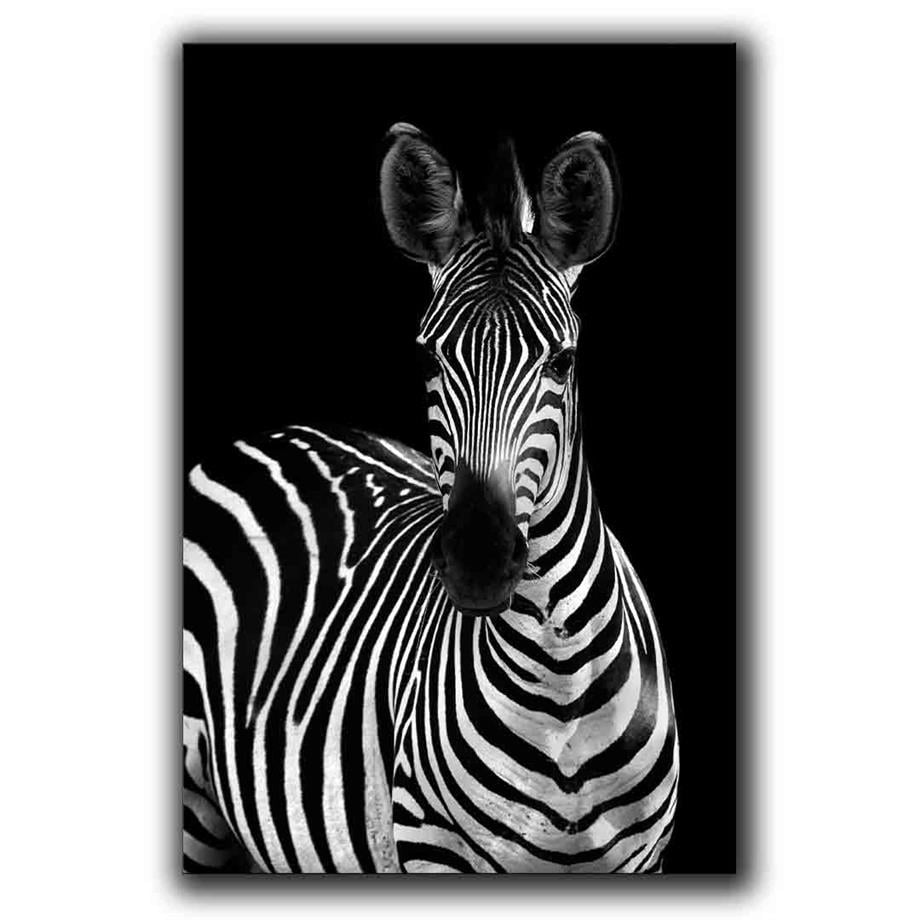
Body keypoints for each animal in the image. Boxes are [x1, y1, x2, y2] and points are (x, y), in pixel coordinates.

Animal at [183, 123, 679, 874]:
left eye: (563, 362)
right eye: (428, 358)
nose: (478, 563)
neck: (561, 687)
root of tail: (276, 432)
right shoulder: (430, 846)